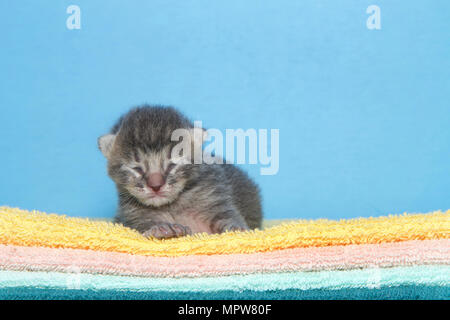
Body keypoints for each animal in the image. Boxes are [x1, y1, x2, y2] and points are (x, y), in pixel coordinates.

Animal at [96, 106, 262, 239]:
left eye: (172, 165)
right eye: (137, 168)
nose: (155, 186)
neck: (172, 205)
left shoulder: (214, 197)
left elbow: (227, 215)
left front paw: (237, 228)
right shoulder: (131, 215)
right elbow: (143, 223)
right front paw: (160, 229)